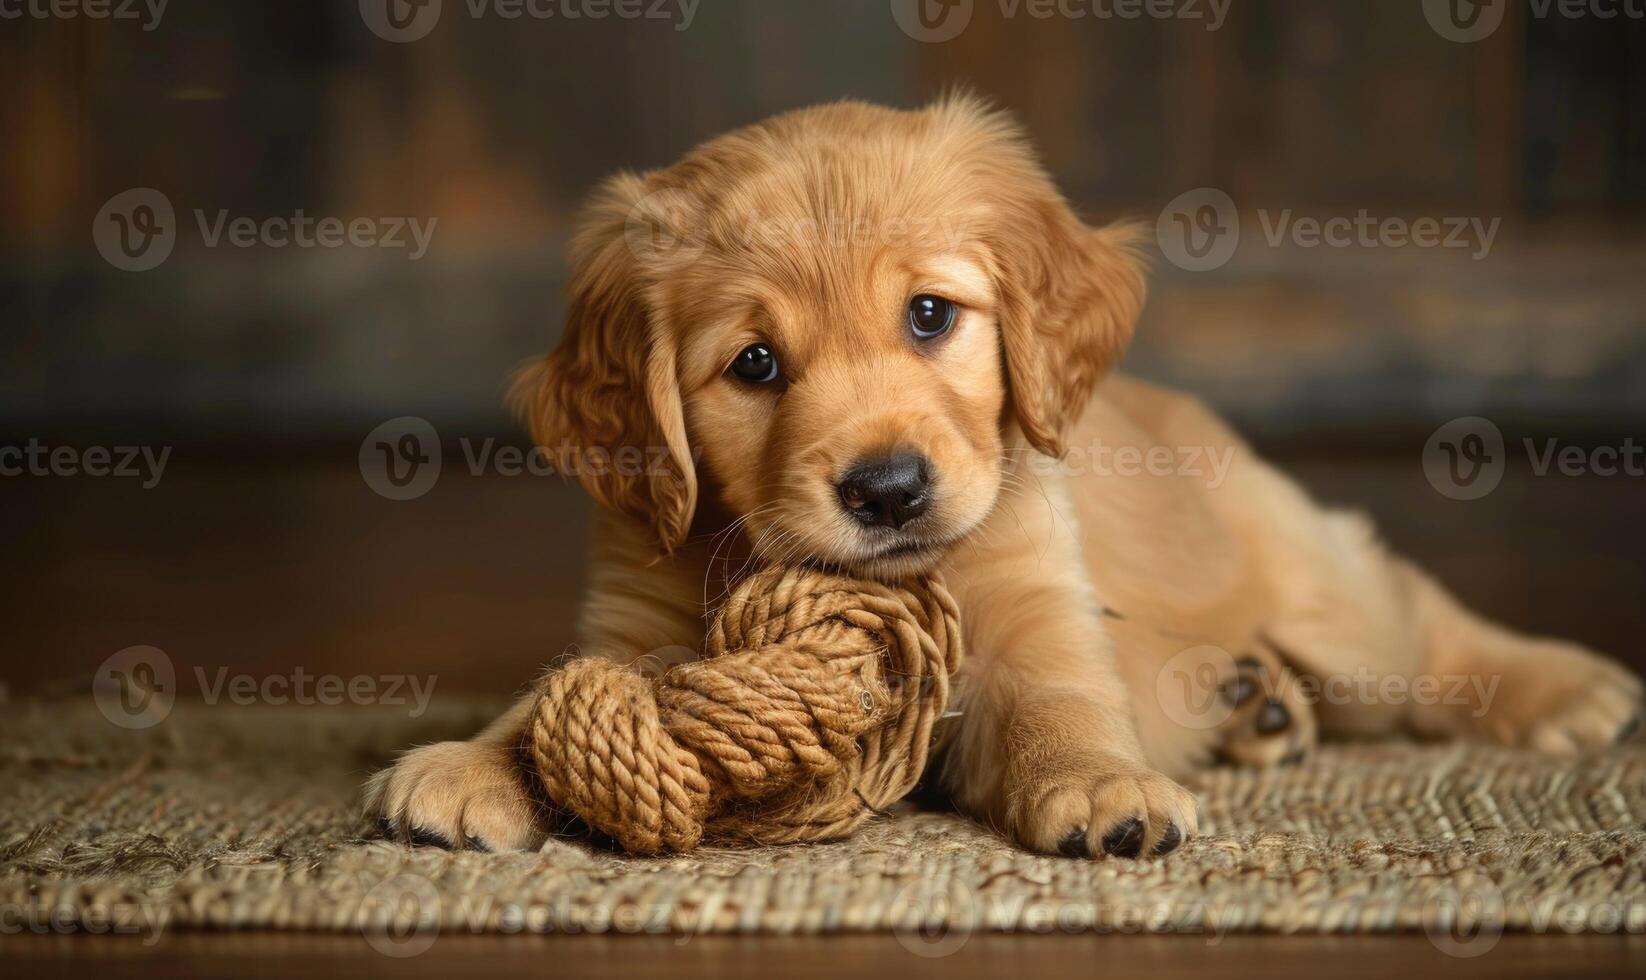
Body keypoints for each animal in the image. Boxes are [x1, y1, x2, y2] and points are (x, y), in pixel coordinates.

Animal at [367, 93, 1639, 856]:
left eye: (930, 314)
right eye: (754, 363)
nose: (885, 489)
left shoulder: (1037, 608)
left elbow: (1057, 709)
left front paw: (1101, 787)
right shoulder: (633, 621)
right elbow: (554, 699)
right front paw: (470, 763)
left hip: (1313, 580)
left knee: (1408, 617)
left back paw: (1562, 688)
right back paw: (1254, 705)